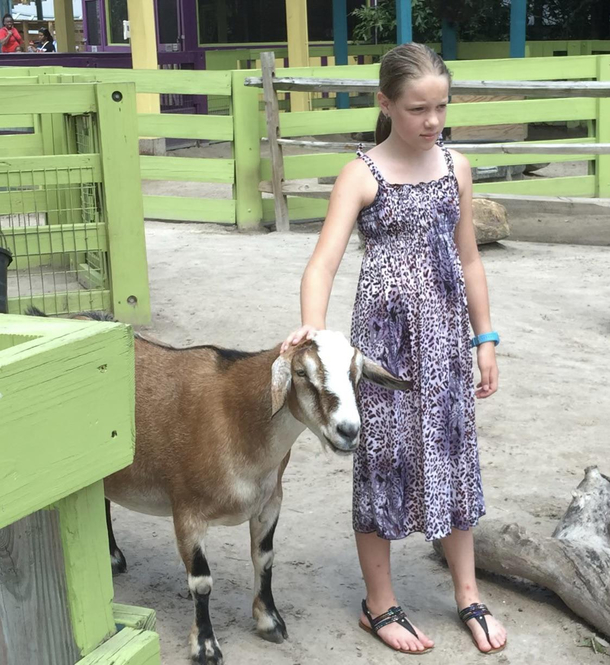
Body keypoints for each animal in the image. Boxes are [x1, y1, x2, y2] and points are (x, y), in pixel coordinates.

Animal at [103, 326, 408, 664]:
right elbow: (201, 581)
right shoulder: (186, 510)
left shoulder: (270, 502)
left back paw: (112, 557)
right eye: (301, 372)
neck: (234, 421)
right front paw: (205, 646)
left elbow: (264, 559)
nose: (349, 431)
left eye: (356, 374)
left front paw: (270, 622)